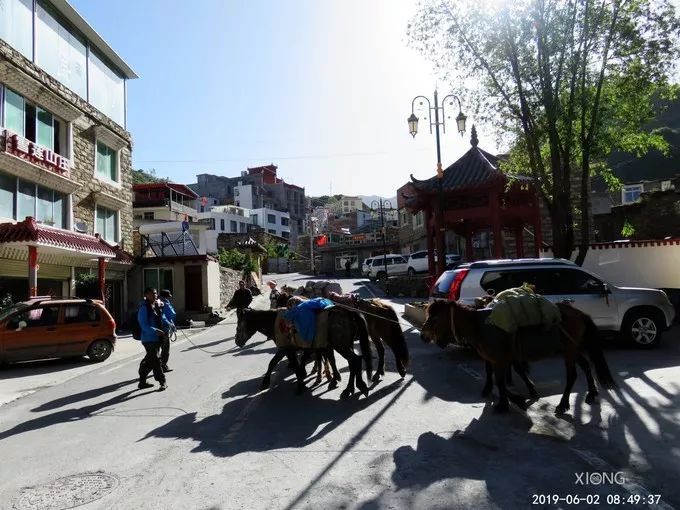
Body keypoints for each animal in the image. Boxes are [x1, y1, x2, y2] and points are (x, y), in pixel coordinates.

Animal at [234, 306, 372, 398]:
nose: (237, 341)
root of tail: (349, 312)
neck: (274, 321)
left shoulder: (286, 349)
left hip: (341, 346)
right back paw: (352, 387)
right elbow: (273, 362)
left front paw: (300, 385)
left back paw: (353, 388)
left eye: (238, 326)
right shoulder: (285, 349)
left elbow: (292, 365)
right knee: (352, 362)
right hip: (346, 346)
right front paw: (266, 382)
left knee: (355, 360)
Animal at [420, 298, 616, 414]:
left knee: (572, 375)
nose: (423, 336)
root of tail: (579, 313)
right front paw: (518, 396)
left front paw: (506, 403)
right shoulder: (498, 359)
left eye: (435, 318)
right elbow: (501, 378)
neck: (480, 326)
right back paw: (591, 393)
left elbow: (500, 381)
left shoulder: (500, 359)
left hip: (569, 351)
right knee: (586, 366)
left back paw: (563, 404)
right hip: (573, 349)